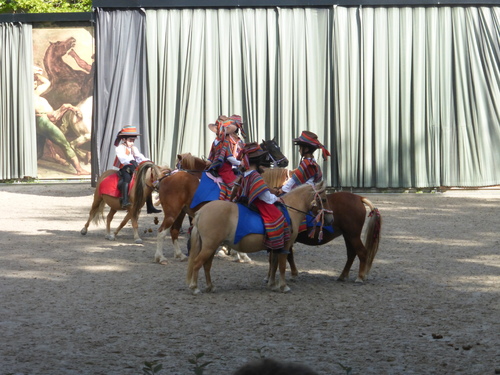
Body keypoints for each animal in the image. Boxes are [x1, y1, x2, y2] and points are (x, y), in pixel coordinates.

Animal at [155, 140, 290, 266]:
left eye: (277, 147)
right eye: (272, 149)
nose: (286, 162)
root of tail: (166, 177)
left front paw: (236, 253)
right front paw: (240, 254)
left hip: (180, 212)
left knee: (174, 231)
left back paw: (180, 255)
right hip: (172, 212)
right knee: (161, 232)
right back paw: (161, 257)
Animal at [186, 184, 330, 296]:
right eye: (323, 199)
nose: (331, 218)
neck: (289, 211)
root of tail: (202, 211)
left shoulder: (275, 247)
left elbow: (274, 265)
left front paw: (272, 284)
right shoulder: (284, 247)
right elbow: (282, 266)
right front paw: (283, 286)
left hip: (211, 247)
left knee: (206, 265)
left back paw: (210, 286)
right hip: (209, 246)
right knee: (197, 263)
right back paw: (194, 288)